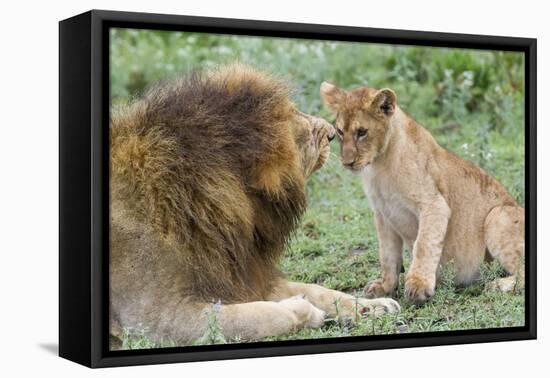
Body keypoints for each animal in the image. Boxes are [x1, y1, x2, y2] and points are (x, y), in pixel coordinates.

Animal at [109, 64, 402, 348]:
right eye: (294, 118)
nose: (332, 134)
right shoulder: (157, 318)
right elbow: (259, 315)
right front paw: (304, 311)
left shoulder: (241, 275)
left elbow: (317, 290)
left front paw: (372, 305)